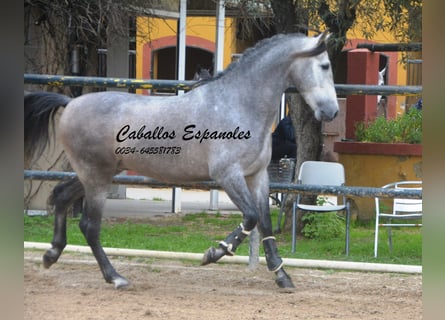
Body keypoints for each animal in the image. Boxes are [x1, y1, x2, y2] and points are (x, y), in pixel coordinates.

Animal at [24, 31, 336, 288]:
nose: (331, 112)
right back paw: (115, 277)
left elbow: (265, 224)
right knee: (89, 225)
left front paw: (282, 276)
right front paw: (214, 253)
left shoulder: (257, 176)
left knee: (61, 195)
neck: (237, 104)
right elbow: (250, 216)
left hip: (97, 173)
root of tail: (70, 104)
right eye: (325, 66)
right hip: (96, 176)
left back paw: (51, 255)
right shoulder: (227, 175)